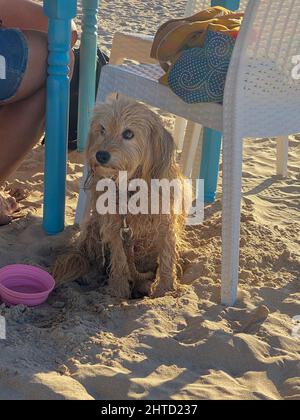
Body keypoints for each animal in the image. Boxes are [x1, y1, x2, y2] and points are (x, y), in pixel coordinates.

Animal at [53, 98, 189, 298]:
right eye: (102, 129)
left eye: (128, 133)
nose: (100, 155)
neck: (130, 187)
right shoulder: (114, 226)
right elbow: (119, 259)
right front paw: (118, 289)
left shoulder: (166, 224)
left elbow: (167, 257)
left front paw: (164, 288)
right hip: (93, 227)